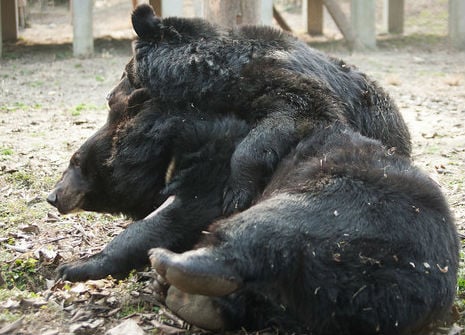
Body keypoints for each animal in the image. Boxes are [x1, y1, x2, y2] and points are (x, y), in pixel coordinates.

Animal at [115, 3, 410, 214]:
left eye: (125, 74)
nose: (109, 96)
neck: (216, 73)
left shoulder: (280, 82)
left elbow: (292, 117)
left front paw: (235, 194)